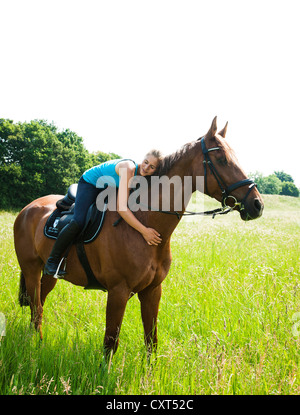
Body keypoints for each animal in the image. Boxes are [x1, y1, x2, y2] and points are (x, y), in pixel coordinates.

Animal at [13, 118, 262, 360]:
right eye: (221, 159)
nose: (257, 204)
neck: (144, 224)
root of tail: (28, 208)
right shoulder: (118, 292)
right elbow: (110, 344)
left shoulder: (152, 291)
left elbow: (151, 341)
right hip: (31, 270)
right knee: (36, 308)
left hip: (49, 275)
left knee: (39, 306)